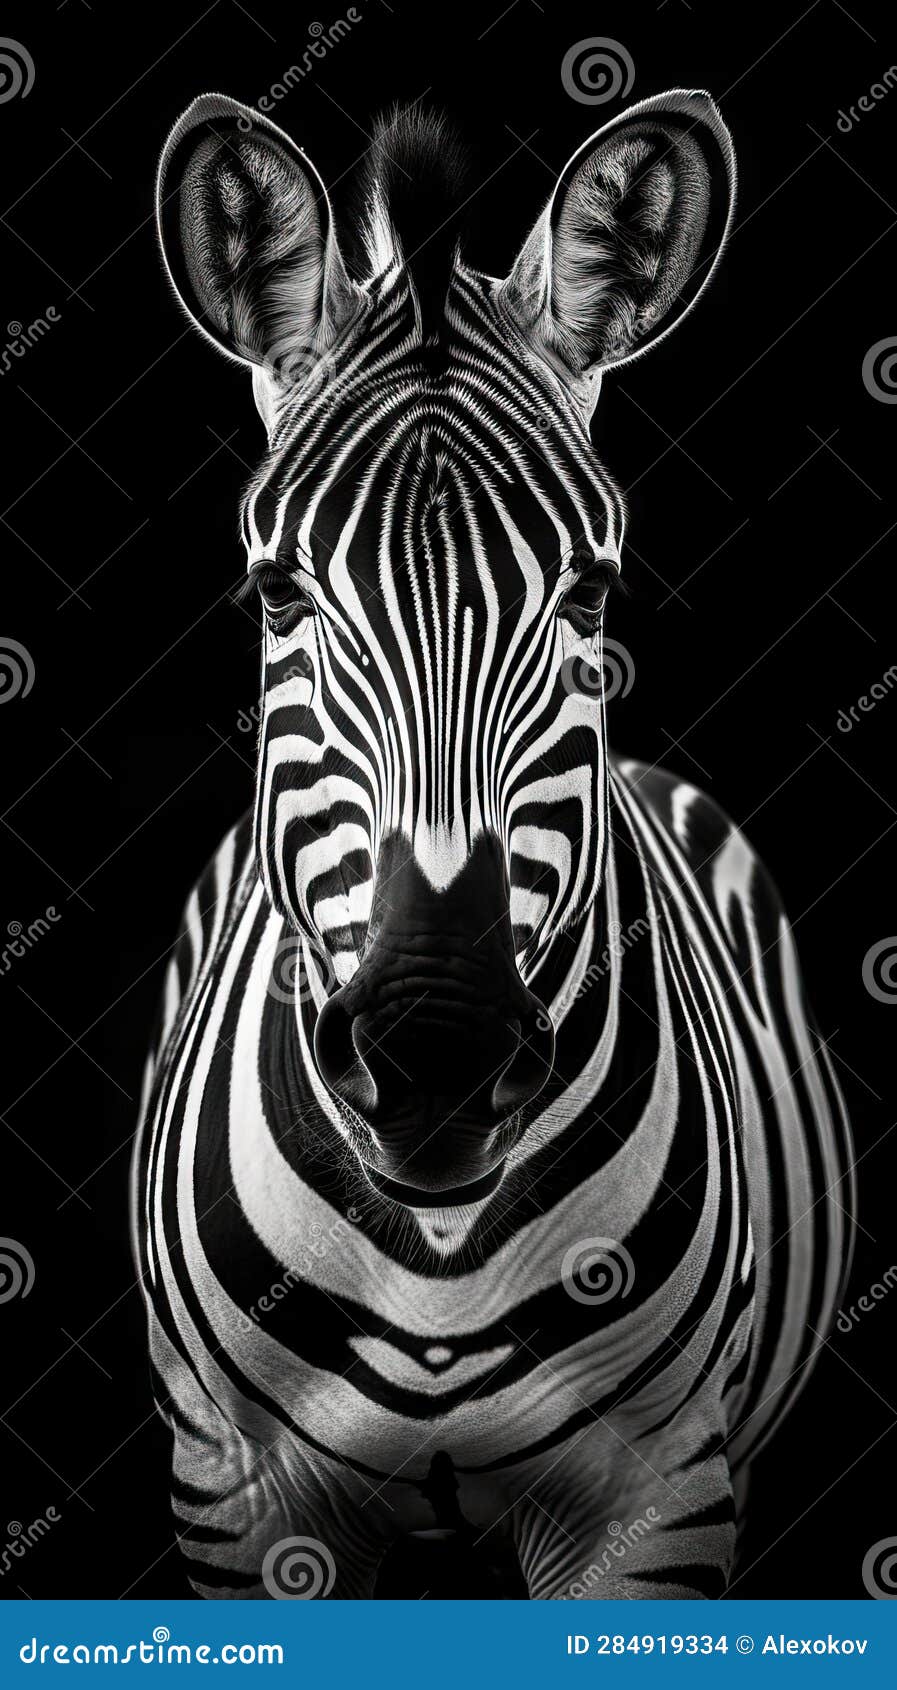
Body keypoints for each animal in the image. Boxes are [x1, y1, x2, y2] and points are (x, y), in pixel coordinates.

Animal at [133, 88, 855, 1600]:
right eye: (275, 590)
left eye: (591, 591)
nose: (436, 1059)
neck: (439, 1250)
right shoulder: (238, 1496)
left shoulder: (659, 1496)